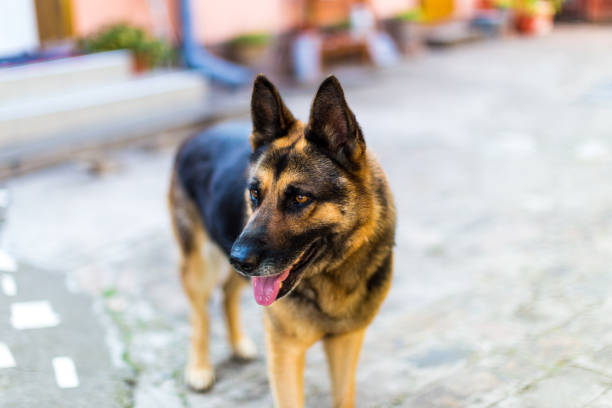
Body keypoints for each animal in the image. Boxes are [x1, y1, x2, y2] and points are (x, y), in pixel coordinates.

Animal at [169, 75, 396, 406]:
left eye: (300, 198)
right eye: (254, 192)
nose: (237, 260)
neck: (331, 275)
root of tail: (197, 135)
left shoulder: (346, 342)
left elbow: (343, 397)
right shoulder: (284, 354)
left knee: (227, 292)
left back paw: (238, 344)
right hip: (202, 265)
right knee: (199, 313)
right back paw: (199, 368)